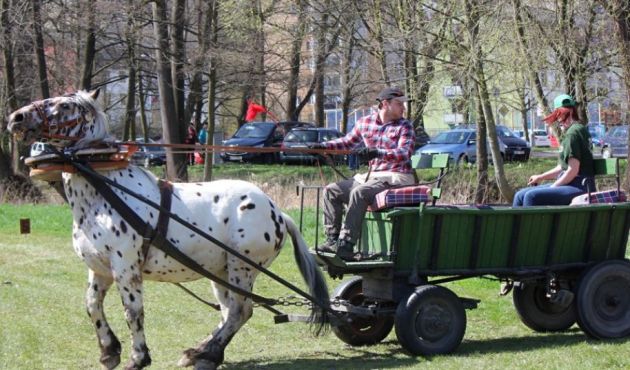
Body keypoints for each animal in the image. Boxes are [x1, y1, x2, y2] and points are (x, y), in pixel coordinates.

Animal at [7, 90, 334, 370]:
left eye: (64, 105)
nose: (15, 117)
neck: (105, 190)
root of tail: (278, 212)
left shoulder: (125, 267)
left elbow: (133, 311)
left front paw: (138, 357)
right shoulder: (100, 269)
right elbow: (91, 305)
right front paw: (109, 350)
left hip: (242, 267)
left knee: (240, 311)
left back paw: (207, 354)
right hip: (221, 270)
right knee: (230, 310)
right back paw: (201, 351)